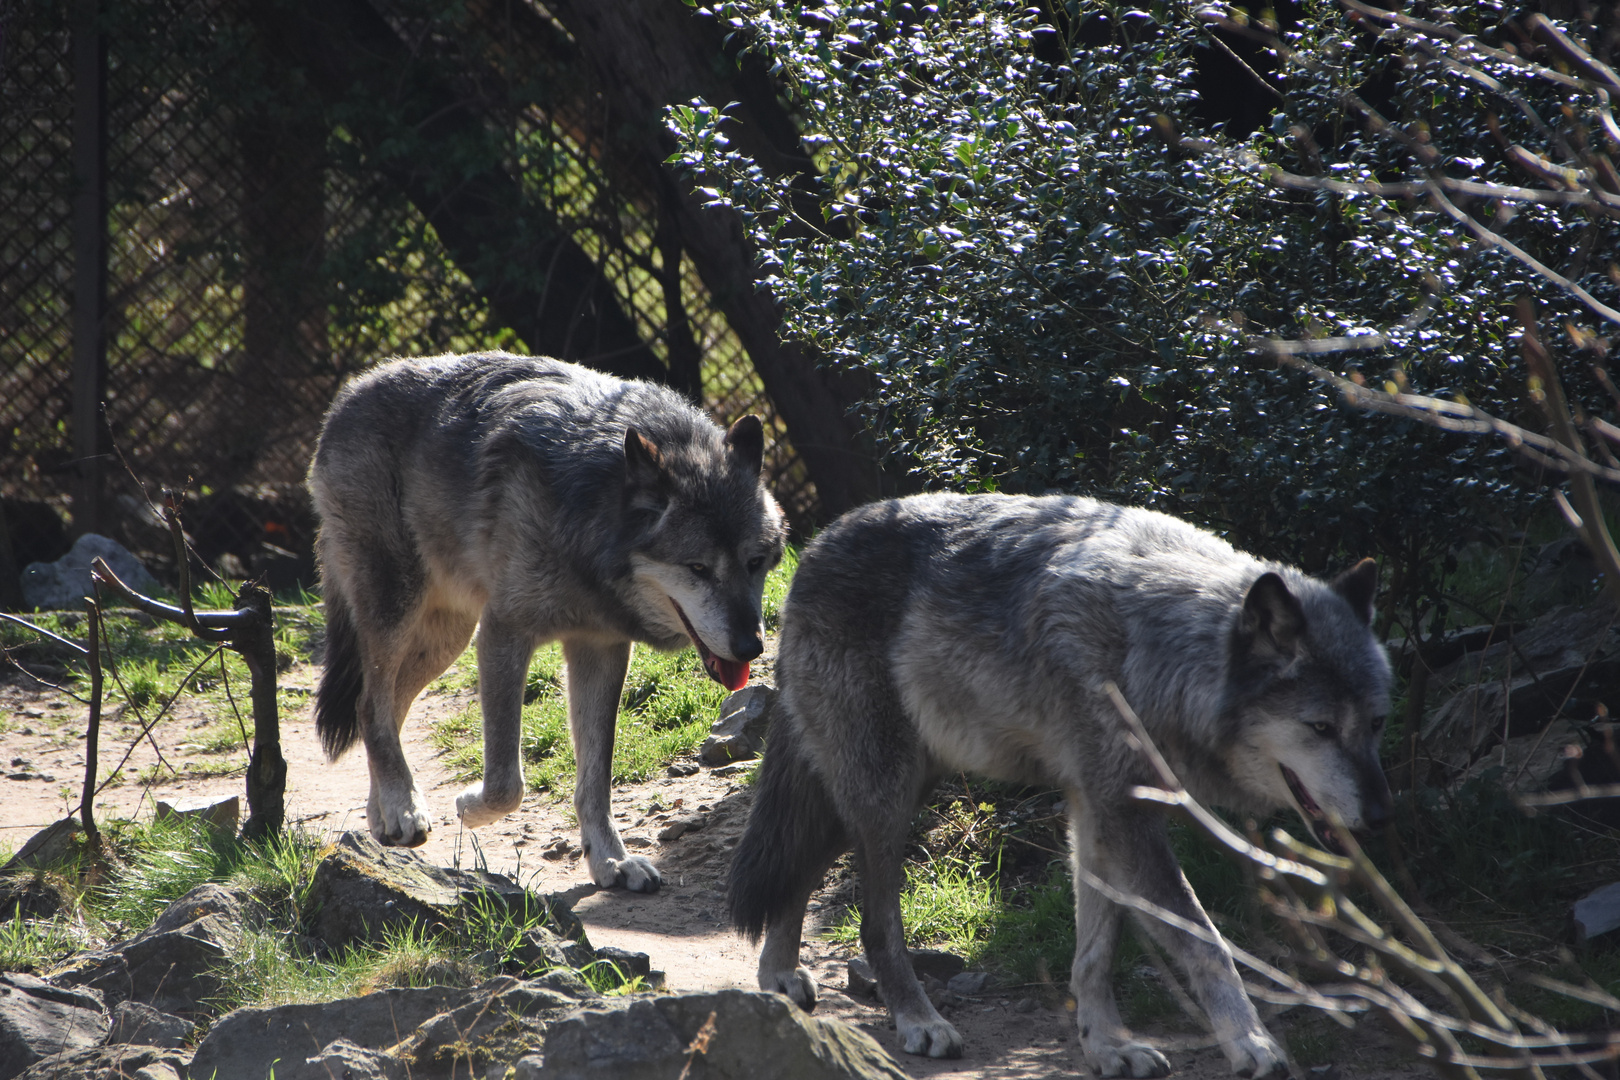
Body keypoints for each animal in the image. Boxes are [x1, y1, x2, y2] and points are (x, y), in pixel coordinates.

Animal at [309, 351, 784, 893]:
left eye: (755, 562)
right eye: (699, 568)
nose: (751, 647)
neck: (589, 521)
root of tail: (350, 391)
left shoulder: (600, 647)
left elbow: (595, 777)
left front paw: (611, 861)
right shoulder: (503, 632)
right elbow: (506, 783)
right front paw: (469, 806)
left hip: (446, 638)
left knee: (384, 708)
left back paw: (387, 813)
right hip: (400, 609)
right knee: (371, 705)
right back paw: (404, 808)